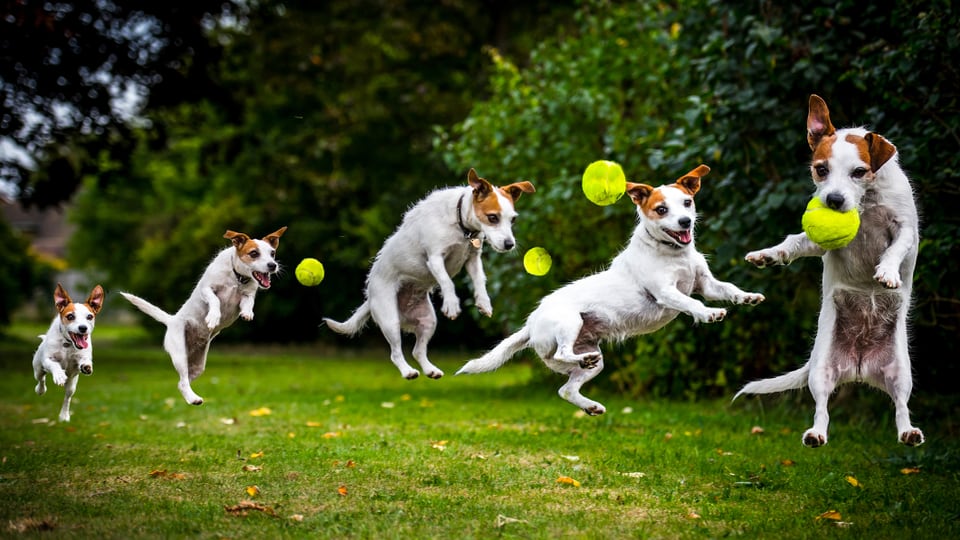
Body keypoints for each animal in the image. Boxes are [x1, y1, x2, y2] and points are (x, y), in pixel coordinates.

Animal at [33, 282, 105, 422]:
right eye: (70, 316)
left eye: (90, 316)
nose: (83, 328)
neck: (67, 343)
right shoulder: (47, 359)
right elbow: (53, 364)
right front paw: (59, 375)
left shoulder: (81, 357)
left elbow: (84, 360)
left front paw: (86, 366)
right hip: (38, 368)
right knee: (41, 378)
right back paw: (40, 390)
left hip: (72, 384)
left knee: (68, 397)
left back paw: (64, 415)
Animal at [121, 226, 284, 402]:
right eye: (254, 253)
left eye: (272, 253)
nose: (273, 265)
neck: (237, 277)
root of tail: (172, 320)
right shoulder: (206, 289)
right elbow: (215, 300)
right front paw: (214, 317)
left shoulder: (248, 294)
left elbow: (248, 302)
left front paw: (247, 313)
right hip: (179, 354)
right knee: (183, 380)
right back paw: (193, 399)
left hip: (198, 365)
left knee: (182, 382)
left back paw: (191, 397)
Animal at [322, 169, 532, 380]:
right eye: (492, 217)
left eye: (513, 219)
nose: (510, 244)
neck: (462, 227)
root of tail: (370, 298)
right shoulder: (435, 258)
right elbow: (447, 282)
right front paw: (451, 304)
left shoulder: (473, 259)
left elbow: (480, 281)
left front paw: (484, 303)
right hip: (390, 319)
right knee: (395, 352)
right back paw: (408, 371)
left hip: (428, 321)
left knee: (418, 350)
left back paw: (431, 370)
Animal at [458, 165, 764, 414]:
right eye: (661, 209)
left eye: (687, 203)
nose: (685, 222)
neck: (675, 254)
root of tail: (531, 324)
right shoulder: (667, 292)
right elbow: (693, 304)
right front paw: (708, 314)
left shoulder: (706, 284)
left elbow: (728, 289)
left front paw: (748, 297)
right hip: (569, 324)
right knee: (562, 354)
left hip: (593, 362)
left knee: (566, 388)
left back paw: (590, 404)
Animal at [736, 95, 924, 450]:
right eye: (821, 169)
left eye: (859, 172)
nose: (834, 200)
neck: (867, 202)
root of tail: (860, 366)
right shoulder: (817, 242)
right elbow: (793, 243)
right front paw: (768, 255)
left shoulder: (905, 227)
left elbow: (895, 248)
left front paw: (887, 271)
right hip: (821, 369)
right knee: (821, 408)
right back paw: (815, 434)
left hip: (901, 372)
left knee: (901, 406)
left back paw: (908, 432)